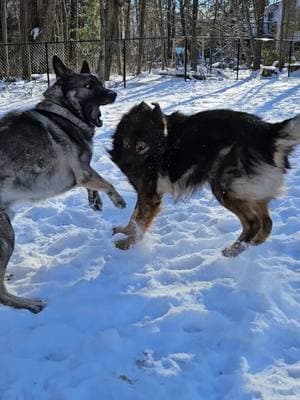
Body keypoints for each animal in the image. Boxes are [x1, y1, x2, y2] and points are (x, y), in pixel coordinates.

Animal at [0, 55, 125, 312]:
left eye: (99, 82)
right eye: (89, 86)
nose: (113, 94)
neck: (64, 113)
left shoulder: (82, 174)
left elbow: (95, 184)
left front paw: (95, 201)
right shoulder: (83, 172)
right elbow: (106, 182)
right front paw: (117, 199)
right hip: (6, 237)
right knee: (0, 293)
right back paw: (29, 304)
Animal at [110, 101, 300, 255]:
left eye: (152, 139)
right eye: (133, 142)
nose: (131, 166)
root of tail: (268, 132)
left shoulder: (150, 194)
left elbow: (140, 220)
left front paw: (128, 243)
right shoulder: (144, 192)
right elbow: (134, 216)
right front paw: (126, 231)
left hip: (224, 188)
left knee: (254, 222)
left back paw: (234, 250)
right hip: (248, 190)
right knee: (267, 222)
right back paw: (253, 244)